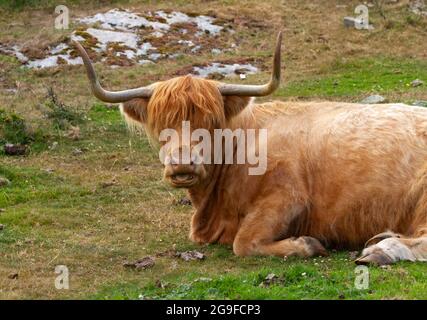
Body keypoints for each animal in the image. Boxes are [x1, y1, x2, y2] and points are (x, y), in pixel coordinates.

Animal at [74, 33, 427, 266]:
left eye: (212, 121)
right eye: (161, 123)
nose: (182, 164)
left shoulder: (286, 198)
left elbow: (243, 243)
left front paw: (307, 244)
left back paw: (380, 251)